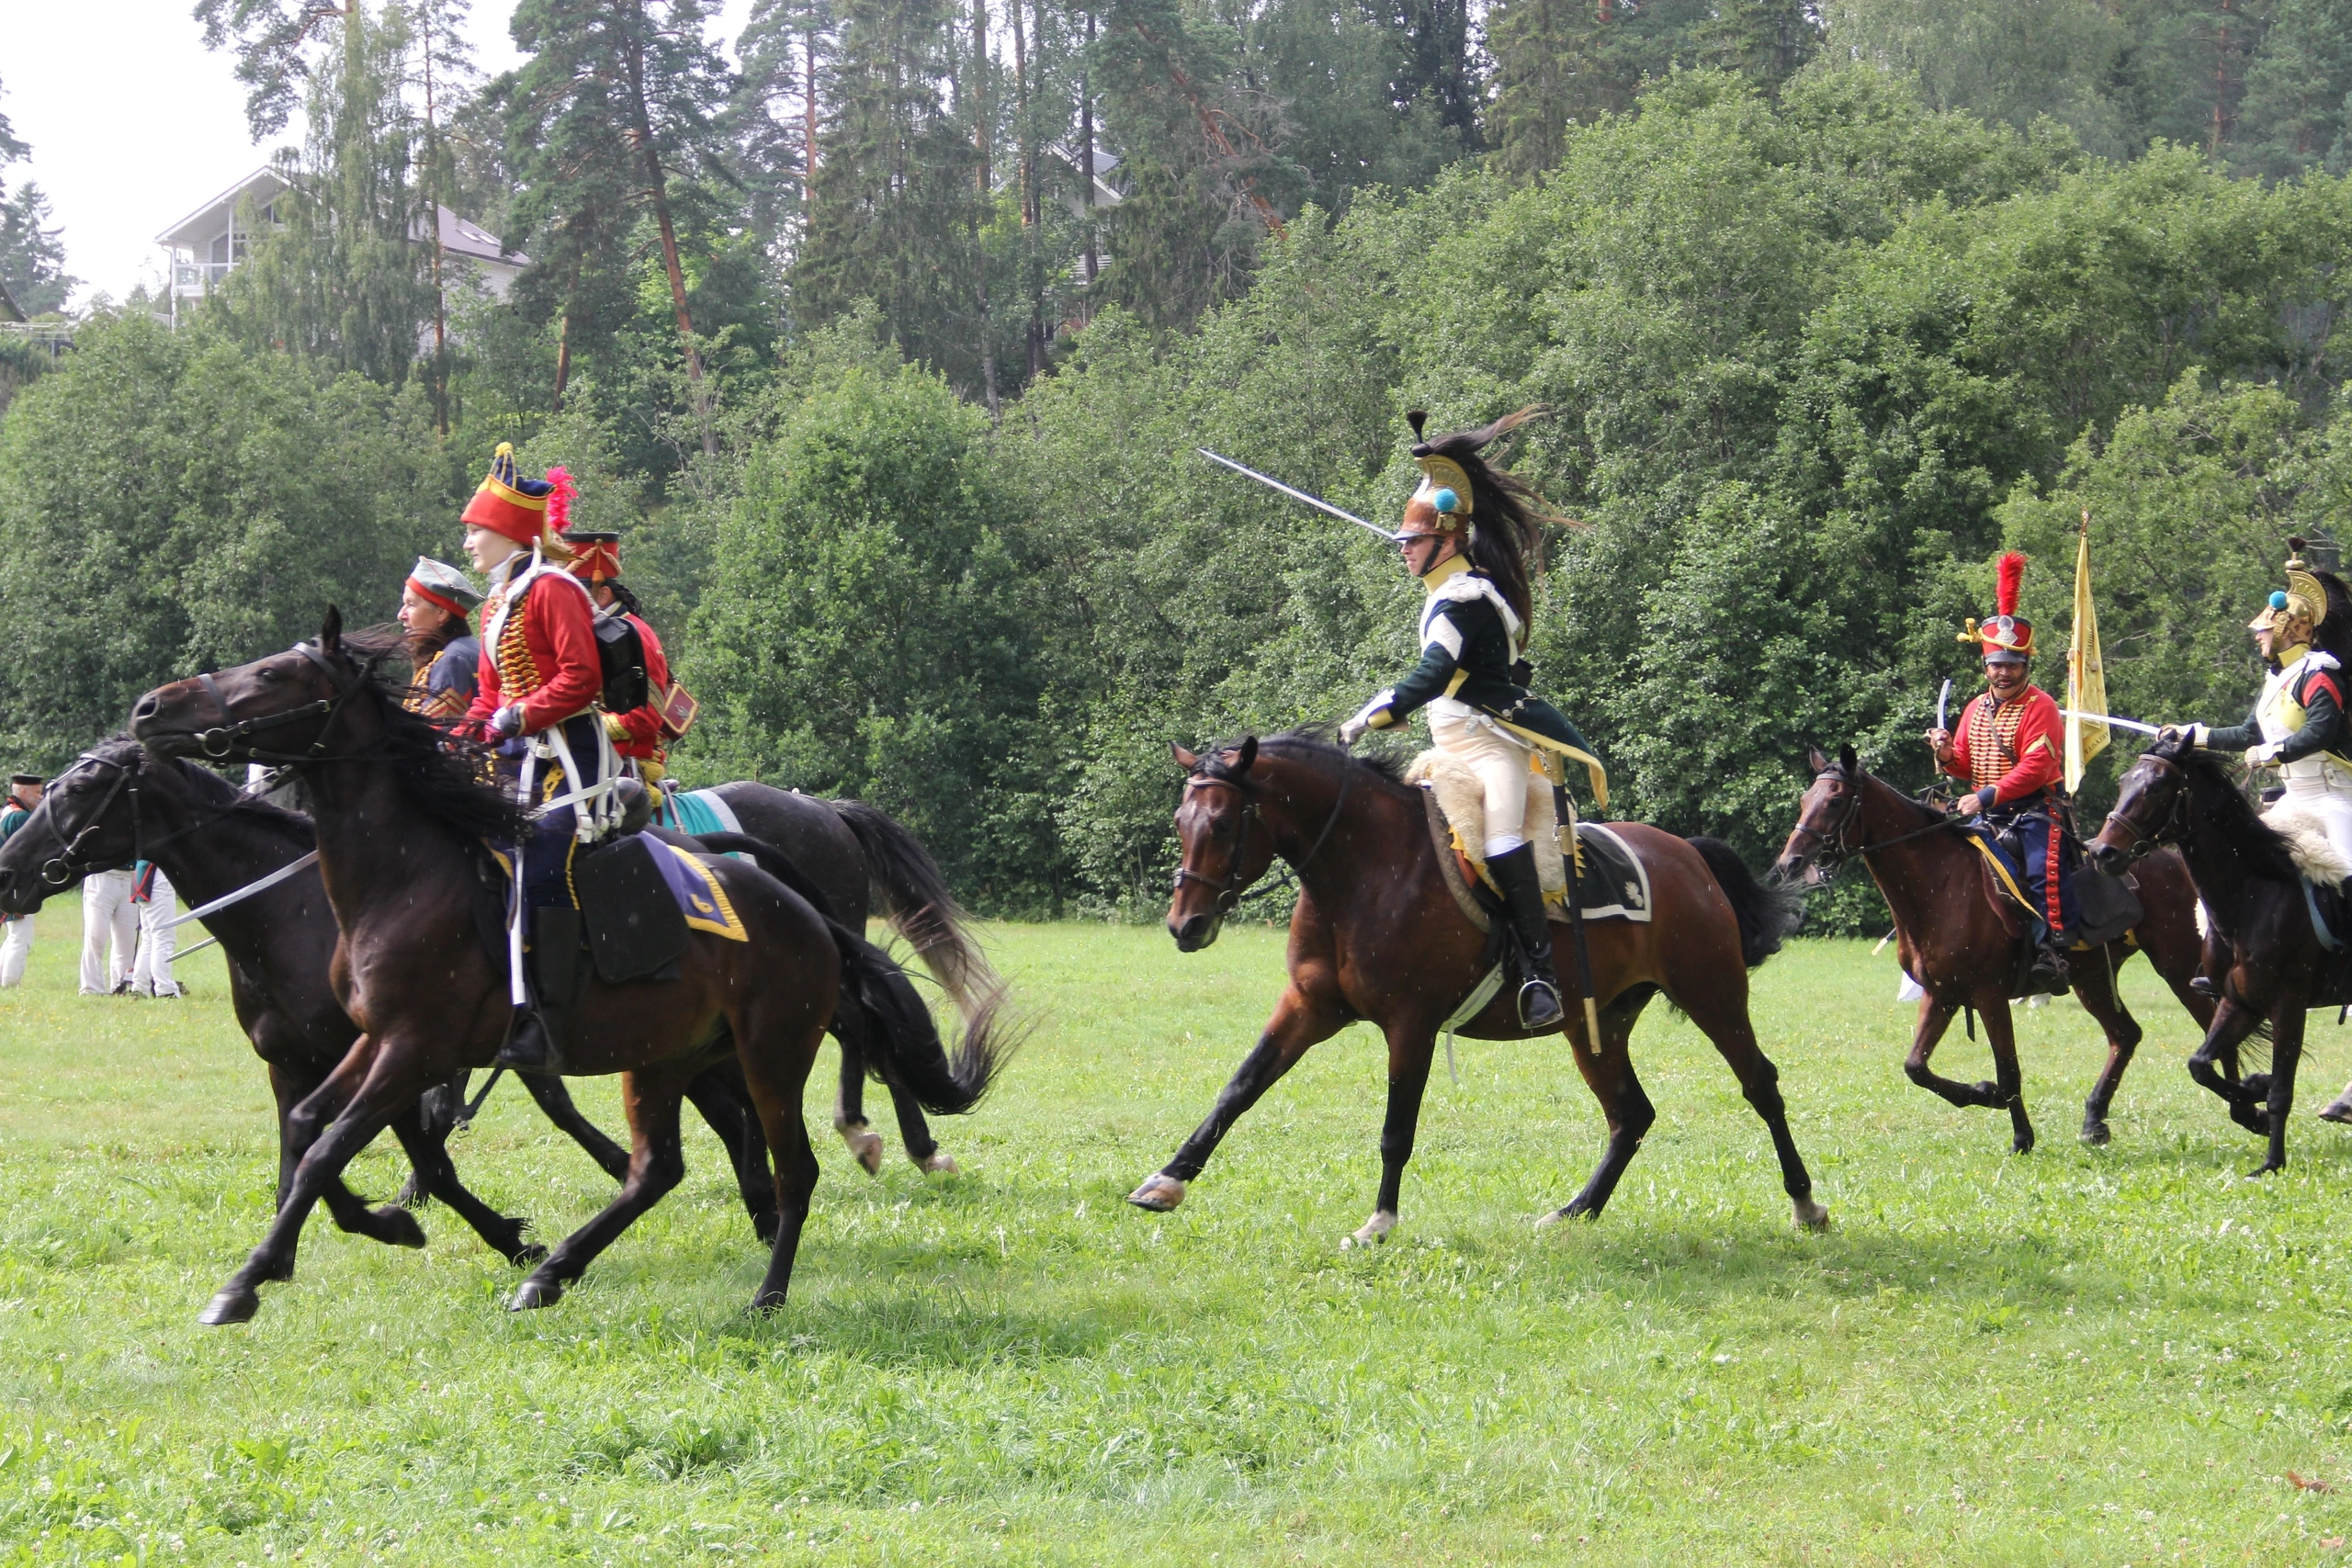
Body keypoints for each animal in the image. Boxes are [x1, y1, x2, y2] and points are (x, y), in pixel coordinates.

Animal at [126, 611, 1011, 1325]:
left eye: (273, 674)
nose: (150, 709)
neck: (404, 873)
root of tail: (800, 907)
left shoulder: (414, 1046)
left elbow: (331, 1144)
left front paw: (247, 1282)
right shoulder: (374, 1041)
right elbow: (311, 1126)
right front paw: (336, 1236)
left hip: (770, 1052)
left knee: (799, 1163)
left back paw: (770, 1287)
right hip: (664, 1059)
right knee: (659, 1169)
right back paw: (554, 1272)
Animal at [1128, 728, 1825, 1241]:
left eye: (1222, 824)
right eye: (1180, 819)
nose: (1185, 925)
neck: (1364, 870)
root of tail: (1686, 852)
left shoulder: (1410, 1025)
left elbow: (1396, 1128)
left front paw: (1379, 1223)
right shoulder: (1308, 1006)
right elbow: (1239, 1088)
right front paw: (1168, 1179)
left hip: (1714, 996)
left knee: (1760, 1085)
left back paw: (1805, 1204)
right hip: (1595, 1025)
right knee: (1631, 1114)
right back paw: (1576, 1211)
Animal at [1769, 742, 2211, 1161]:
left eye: (1835, 801)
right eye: (1806, 799)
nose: (1790, 861)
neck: (1942, 883)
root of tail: (2170, 857)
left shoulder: (1989, 996)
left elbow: (2008, 1069)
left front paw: (2019, 1135)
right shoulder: (1942, 994)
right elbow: (1916, 1067)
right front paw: (1984, 1095)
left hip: (2179, 967)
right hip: (2094, 979)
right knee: (2125, 1035)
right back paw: (2094, 1121)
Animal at [2088, 742, 2342, 1170]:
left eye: (2157, 787)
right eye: (2124, 782)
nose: (2103, 853)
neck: (2254, 895)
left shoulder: (2288, 1007)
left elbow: (2282, 1092)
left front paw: (2272, 1162)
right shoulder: (2240, 1003)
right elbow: (2201, 1065)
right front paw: (2253, 1093)